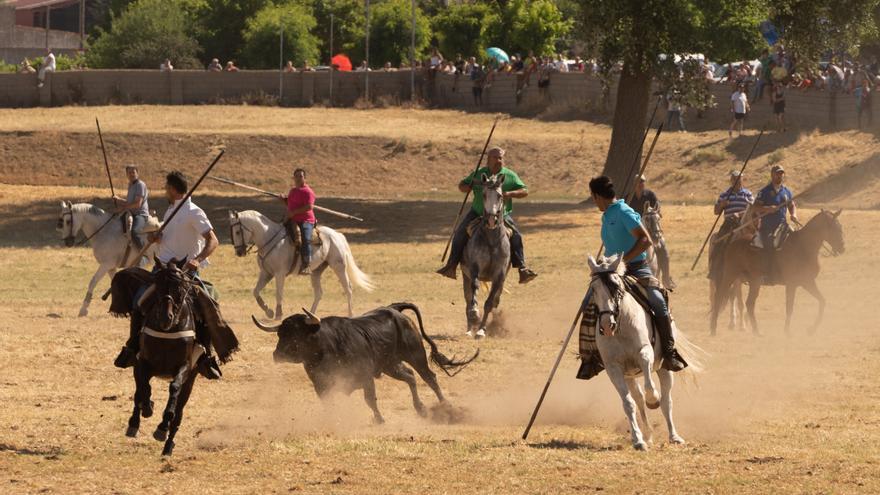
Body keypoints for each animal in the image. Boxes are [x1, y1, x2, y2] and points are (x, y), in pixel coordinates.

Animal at [227, 208, 374, 318]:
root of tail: (337, 235)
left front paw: (278, 314)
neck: (268, 238)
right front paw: (268, 311)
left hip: (339, 266)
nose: (239, 252)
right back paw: (311, 315)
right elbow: (256, 291)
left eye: (238, 231)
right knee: (319, 293)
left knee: (348, 288)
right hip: (316, 271)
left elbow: (278, 293)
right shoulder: (266, 273)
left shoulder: (279, 274)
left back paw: (350, 314)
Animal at [460, 172, 508, 340]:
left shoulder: (499, 275)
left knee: (495, 300)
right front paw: (475, 314)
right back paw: (469, 328)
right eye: (484, 194)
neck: (492, 240)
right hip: (465, 275)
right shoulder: (474, 268)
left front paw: (482, 330)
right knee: (468, 299)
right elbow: (474, 289)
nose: (491, 220)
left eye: (500, 195)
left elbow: (490, 302)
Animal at [588, 256, 704, 454]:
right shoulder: (614, 369)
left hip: (665, 369)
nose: (606, 325)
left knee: (666, 401)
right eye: (594, 289)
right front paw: (638, 440)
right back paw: (647, 435)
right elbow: (628, 404)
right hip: (630, 377)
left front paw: (653, 400)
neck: (622, 326)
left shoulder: (645, 353)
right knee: (638, 400)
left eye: (616, 286)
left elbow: (651, 387)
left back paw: (674, 436)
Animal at [708, 209, 844, 338]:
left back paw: (756, 331)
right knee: (719, 296)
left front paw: (811, 329)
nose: (842, 248)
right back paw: (713, 328)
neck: (803, 247)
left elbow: (822, 301)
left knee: (749, 303)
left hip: (754, 281)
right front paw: (787, 332)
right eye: (833, 228)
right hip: (730, 275)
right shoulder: (791, 284)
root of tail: (732, 243)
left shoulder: (807, 282)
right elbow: (789, 307)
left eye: (840, 227)